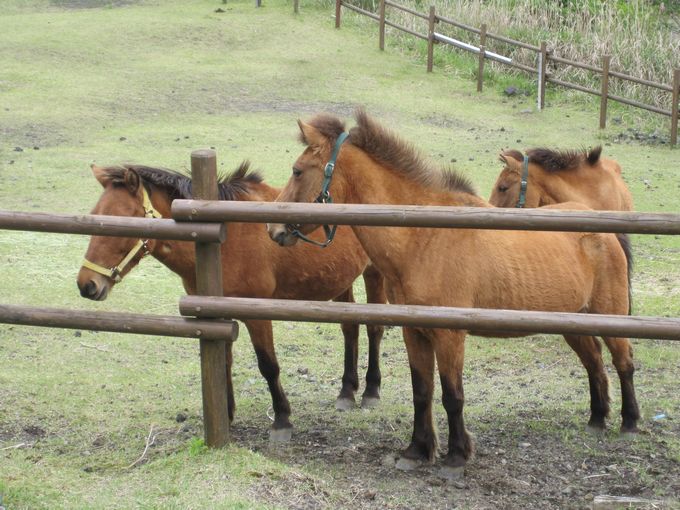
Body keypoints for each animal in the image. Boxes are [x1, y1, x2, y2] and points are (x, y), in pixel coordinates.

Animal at [76, 162, 386, 438]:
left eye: (123, 220)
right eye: (94, 215)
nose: (86, 285)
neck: (222, 238)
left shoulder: (257, 314)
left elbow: (268, 366)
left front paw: (282, 419)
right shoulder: (216, 314)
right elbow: (222, 362)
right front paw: (226, 413)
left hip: (374, 273)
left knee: (374, 328)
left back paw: (371, 389)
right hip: (341, 280)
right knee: (350, 327)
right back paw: (346, 391)